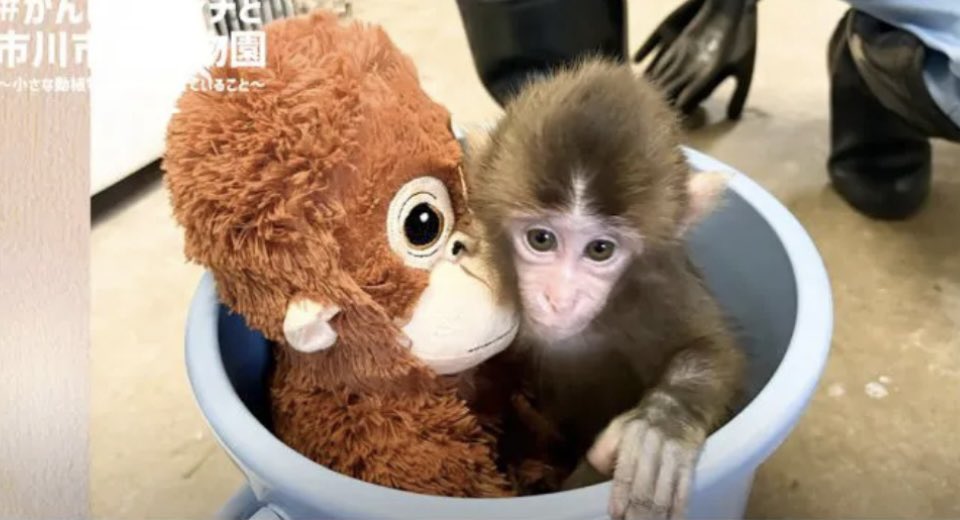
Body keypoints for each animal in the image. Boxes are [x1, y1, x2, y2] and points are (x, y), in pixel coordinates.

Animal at [465, 58, 747, 520]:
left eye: (600, 249)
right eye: (541, 239)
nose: (559, 299)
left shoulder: (661, 291)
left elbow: (710, 350)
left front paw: (660, 427)